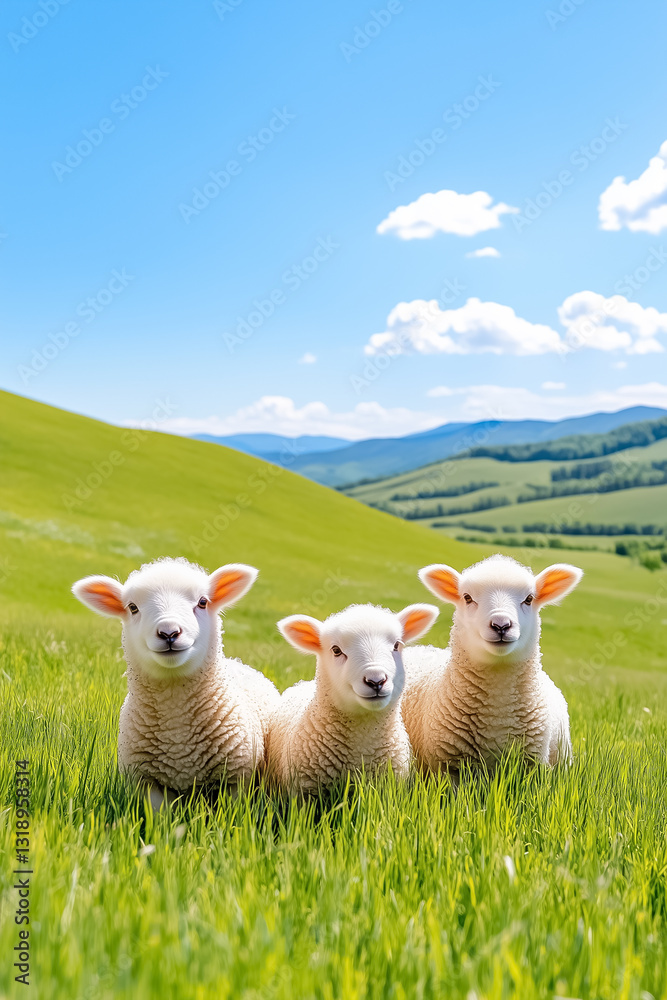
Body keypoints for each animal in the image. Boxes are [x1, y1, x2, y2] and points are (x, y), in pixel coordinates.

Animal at [401, 555, 583, 773]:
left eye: (529, 599)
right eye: (467, 597)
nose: (501, 625)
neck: (497, 713)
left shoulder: (532, 765)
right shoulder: (451, 767)